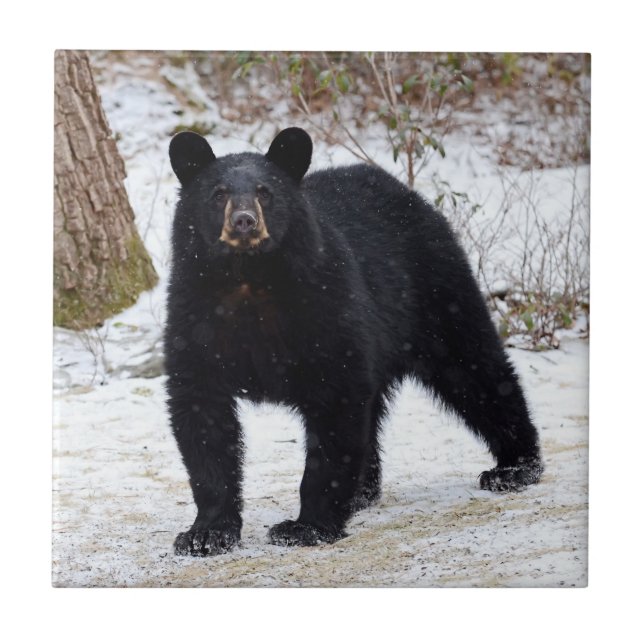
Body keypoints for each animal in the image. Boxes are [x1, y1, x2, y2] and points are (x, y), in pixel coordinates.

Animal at [165, 127, 543, 556]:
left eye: (265, 192)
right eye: (218, 193)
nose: (244, 222)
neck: (249, 279)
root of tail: (403, 189)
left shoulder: (324, 305)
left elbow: (334, 406)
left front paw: (305, 526)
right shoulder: (195, 314)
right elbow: (202, 413)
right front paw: (205, 534)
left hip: (434, 290)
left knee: (475, 367)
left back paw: (514, 467)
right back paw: (363, 491)